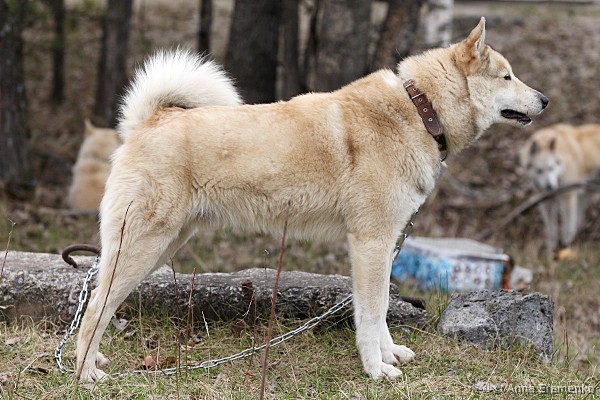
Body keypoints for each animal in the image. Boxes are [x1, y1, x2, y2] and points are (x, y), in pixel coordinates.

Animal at [75, 18, 547, 381]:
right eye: (507, 76)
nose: (545, 99)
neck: (420, 108)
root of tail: (149, 120)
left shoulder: (381, 246)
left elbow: (380, 311)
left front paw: (389, 355)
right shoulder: (370, 243)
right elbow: (372, 313)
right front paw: (377, 370)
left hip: (162, 246)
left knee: (100, 304)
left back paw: (94, 362)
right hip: (143, 247)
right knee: (96, 307)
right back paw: (84, 374)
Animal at [520, 123, 600, 252]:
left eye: (551, 168)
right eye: (539, 171)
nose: (550, 187)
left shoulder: (568, 197)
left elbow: (567, 225)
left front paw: (565, 244)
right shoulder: (547, 202)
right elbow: (551, 228)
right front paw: (552, 248)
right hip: (585, 194)